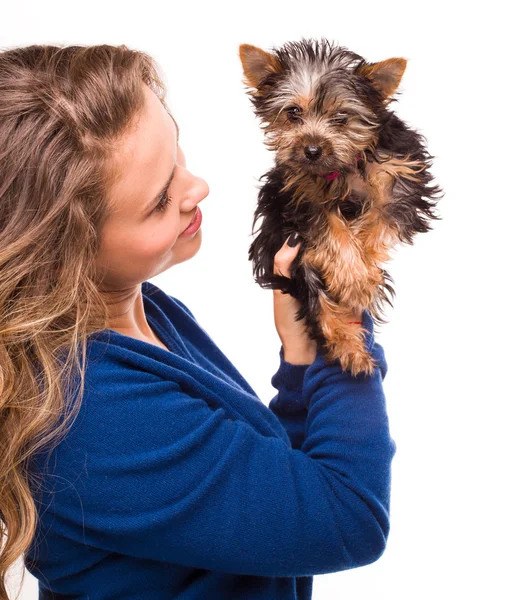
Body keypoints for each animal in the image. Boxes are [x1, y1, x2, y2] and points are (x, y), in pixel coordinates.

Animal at [238, 36, 440, 376]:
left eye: (342, 117)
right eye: (293, 112)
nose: (312, 150)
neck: (340, 168)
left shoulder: (400, 181)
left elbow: (378, 220)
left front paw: (364, 273)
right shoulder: (297, 196)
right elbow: (329, 225)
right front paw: (354, 277)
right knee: (314, 294)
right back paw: (349, 347)